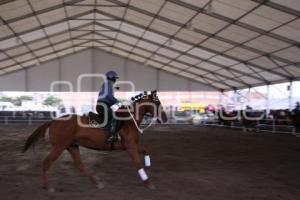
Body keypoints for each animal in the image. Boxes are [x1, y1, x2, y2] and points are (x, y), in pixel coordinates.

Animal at [22, 90, 168, 191]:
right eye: (157, 103)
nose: (165, 118)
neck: (129, 120)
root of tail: (53, 121)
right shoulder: (131, 147)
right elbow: (137, 163)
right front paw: (148, 183)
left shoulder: (133, 145)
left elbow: (146, 151)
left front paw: (147, 169)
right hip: (59, 147)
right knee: (47, 163)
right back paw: (48, 187)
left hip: (72, 146)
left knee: (80, 165)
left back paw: (97, 183)